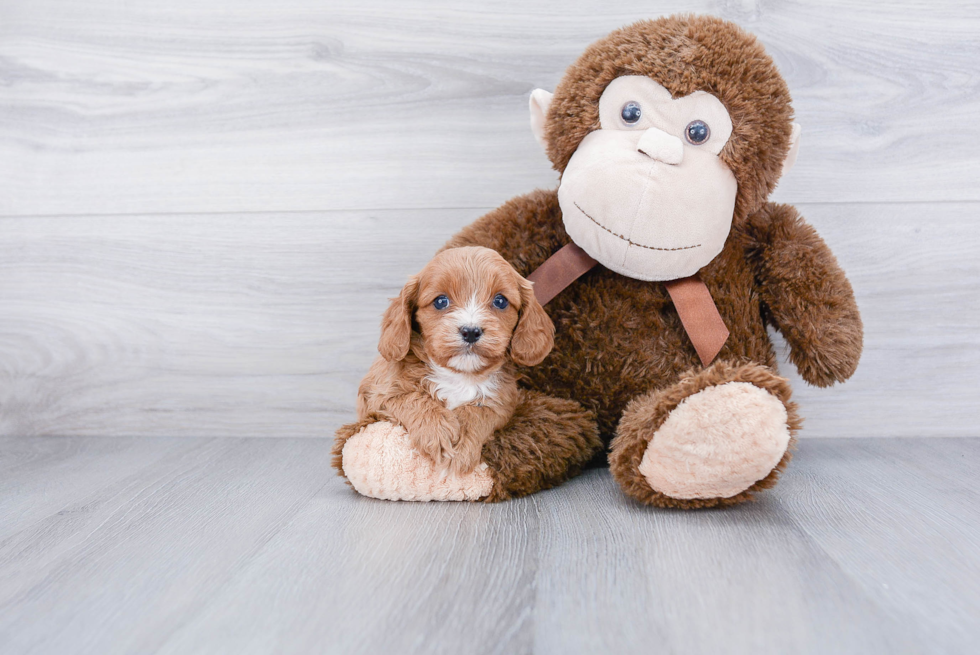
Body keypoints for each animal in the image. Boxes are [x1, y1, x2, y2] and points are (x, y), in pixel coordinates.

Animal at [356, 246, 556, 476]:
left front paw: (462, 445)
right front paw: (437, 431)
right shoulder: (376, 393)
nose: (470, 331)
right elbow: (409, 397)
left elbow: (480, 410)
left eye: (500, 301)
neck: (459, 375)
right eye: (441, 301)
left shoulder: (502, 403)